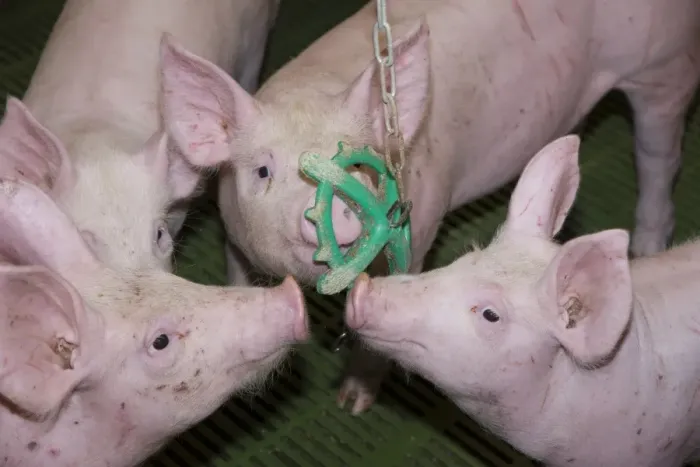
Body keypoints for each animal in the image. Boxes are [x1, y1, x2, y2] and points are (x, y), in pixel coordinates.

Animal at [156, 0, 700, 413]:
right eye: (263, 171)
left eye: (363, 167)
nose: (341, 214)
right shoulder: (233, 234)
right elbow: (241, 280)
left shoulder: (421, 229)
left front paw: (351, 404)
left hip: (663, 68)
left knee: (659, 159)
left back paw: (647, 249)